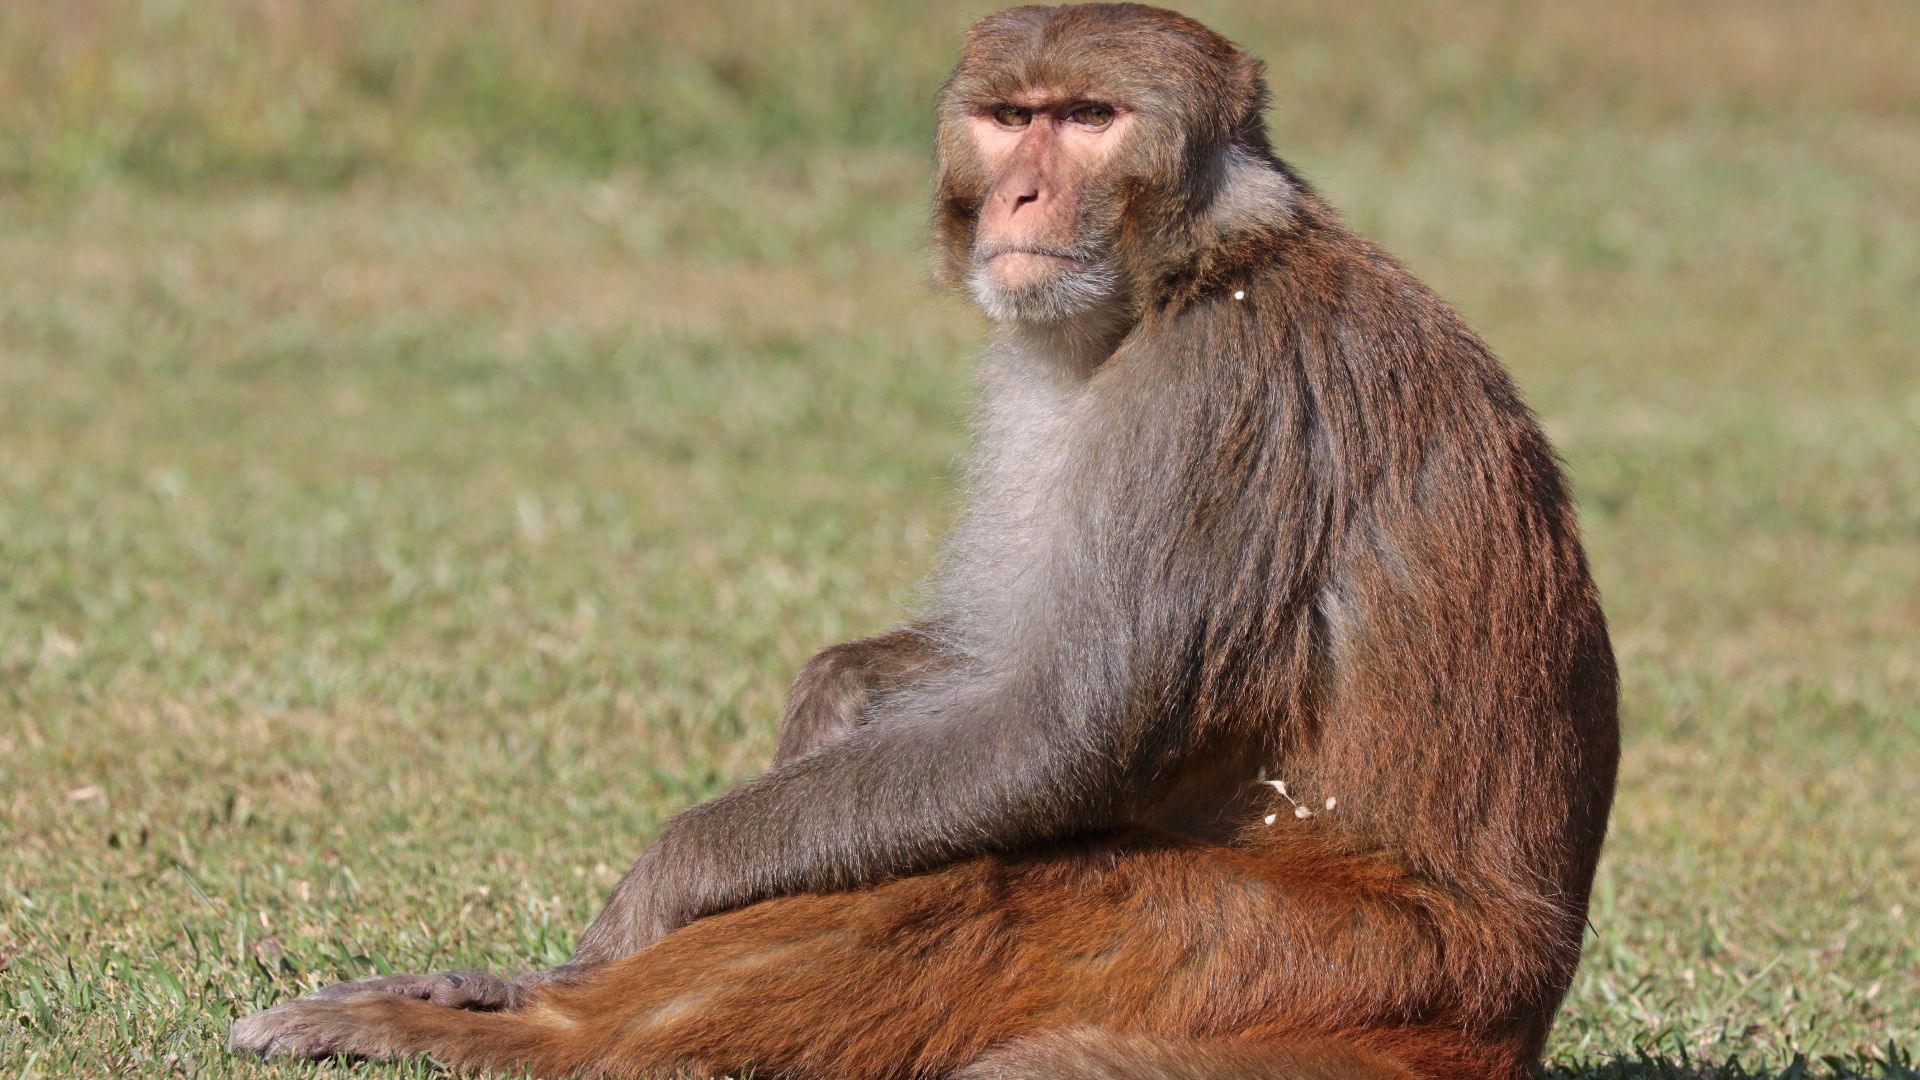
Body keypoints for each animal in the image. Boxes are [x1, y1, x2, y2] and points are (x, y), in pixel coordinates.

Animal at [229, 4, 1619, 1077]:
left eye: (1090, 118)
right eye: (1011, 117)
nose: (1020, 192)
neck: (1178, 277)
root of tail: (1500, 1024)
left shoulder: (1221, 393)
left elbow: (1061, 728)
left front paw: (653, 895)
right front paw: (834, 694)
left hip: (1309, 962)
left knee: (991, 885)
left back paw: (539, 1033)